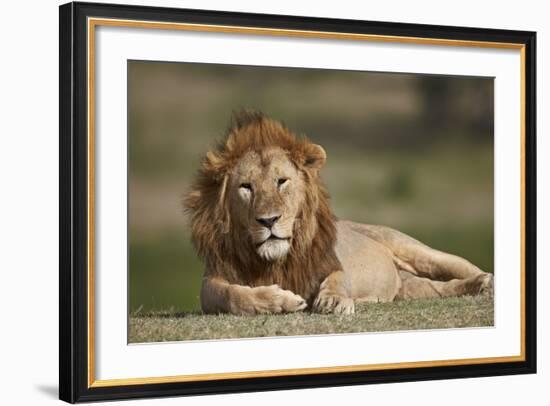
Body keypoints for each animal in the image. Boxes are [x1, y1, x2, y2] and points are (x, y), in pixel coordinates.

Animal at [185, 112, 496, 318]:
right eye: (246, 187)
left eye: (281, 181)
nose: (269, 221)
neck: (276, 260)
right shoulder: (211, 280)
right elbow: (230, 295)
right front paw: (280, 301)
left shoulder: (332, 262)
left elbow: (337, 277)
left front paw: (333, 301)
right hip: (408, 289)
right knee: (439, 288)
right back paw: (476, 286)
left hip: (416, 250)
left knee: (456, 266)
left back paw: (485, 281)